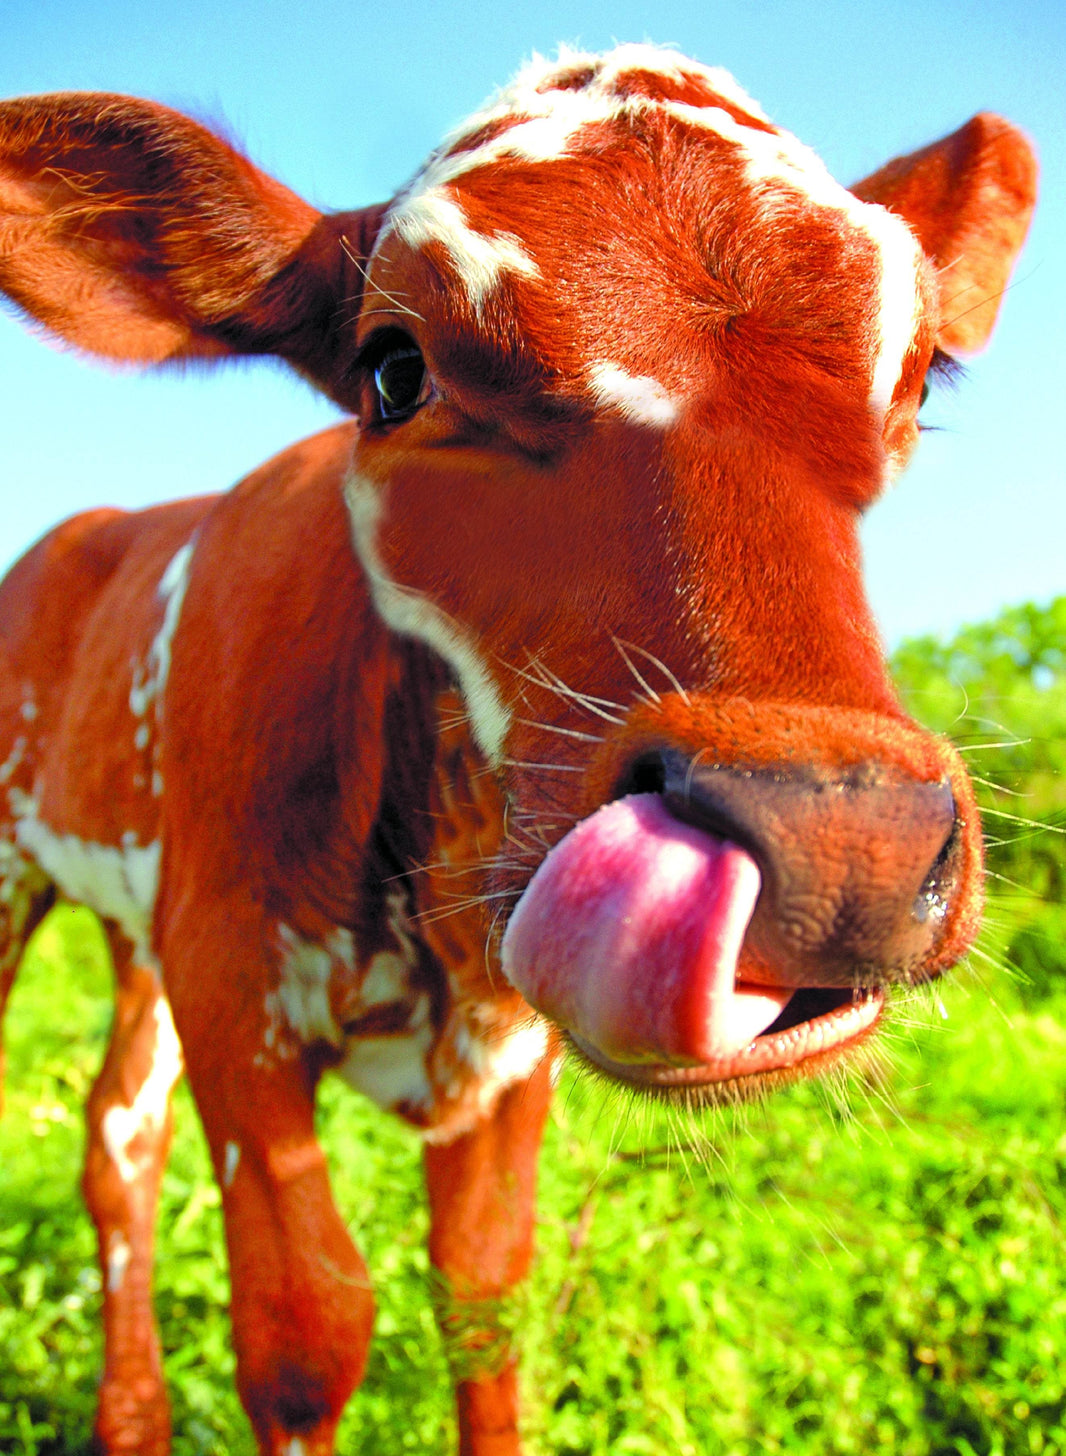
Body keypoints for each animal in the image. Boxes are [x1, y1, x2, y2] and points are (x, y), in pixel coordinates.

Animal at [0, 43, 1036, 1456]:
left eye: (918, 377)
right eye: (394, 371)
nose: (840, 842)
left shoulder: (500, 1045)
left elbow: (483, 1291)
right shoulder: (234, 981)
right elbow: (307, 1326)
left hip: (132, 922)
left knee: (117, 1137)